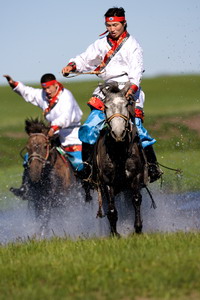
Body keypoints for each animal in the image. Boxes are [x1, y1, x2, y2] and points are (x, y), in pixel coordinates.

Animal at [92, 82, 148, 237]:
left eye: (126, 104)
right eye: (105, 106)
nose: (118, 133)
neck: (119, 152)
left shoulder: (135, 177)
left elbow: (136, 200)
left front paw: (138, 228)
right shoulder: (107, 183)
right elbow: (111, 208)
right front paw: (114, 233)